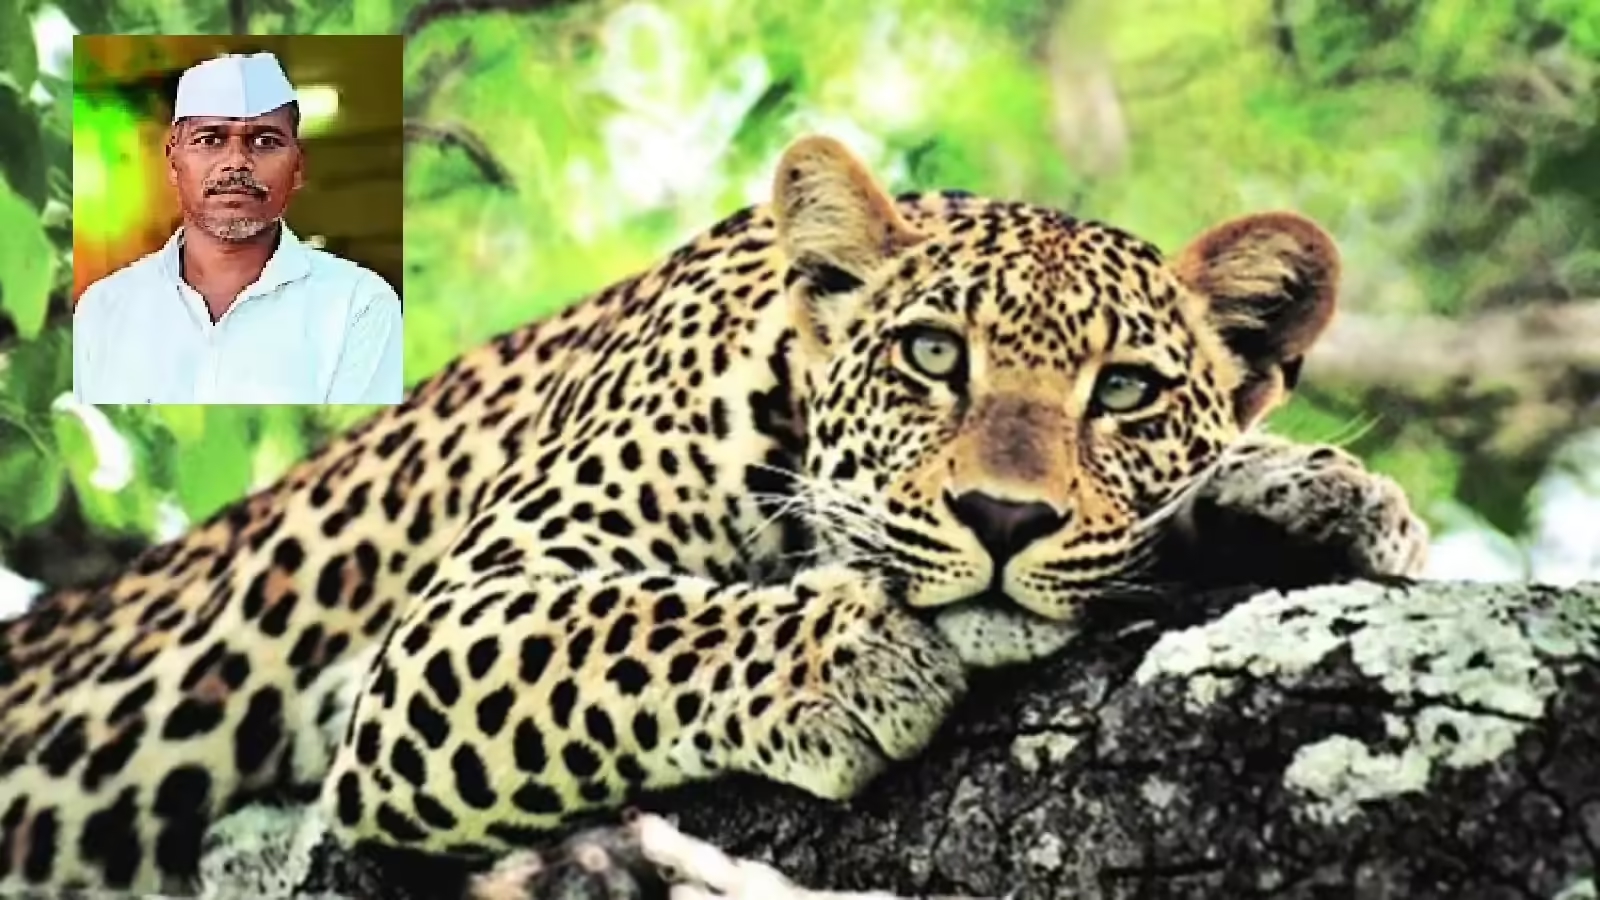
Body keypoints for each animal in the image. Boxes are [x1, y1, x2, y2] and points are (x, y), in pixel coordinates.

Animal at [0, 134, 1428, 896]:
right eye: (929, 357)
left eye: (1124, 390)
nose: (1002, 519)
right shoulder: (456, 623)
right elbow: (628, 627)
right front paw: (842, 660)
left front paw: (1312, 491)